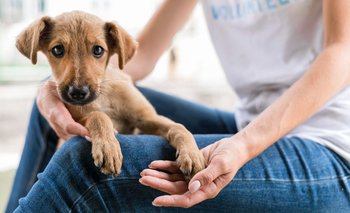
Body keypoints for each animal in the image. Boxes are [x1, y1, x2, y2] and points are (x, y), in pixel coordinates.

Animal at [15, 10, 205, 180]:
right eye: (57, 50)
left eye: (98, 50)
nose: (78, 93)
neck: (103, 96)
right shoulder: (75, 121)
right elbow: (98, 116)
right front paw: (108, 148)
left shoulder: (147, 118)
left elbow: (179, 127)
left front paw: (192, 154)